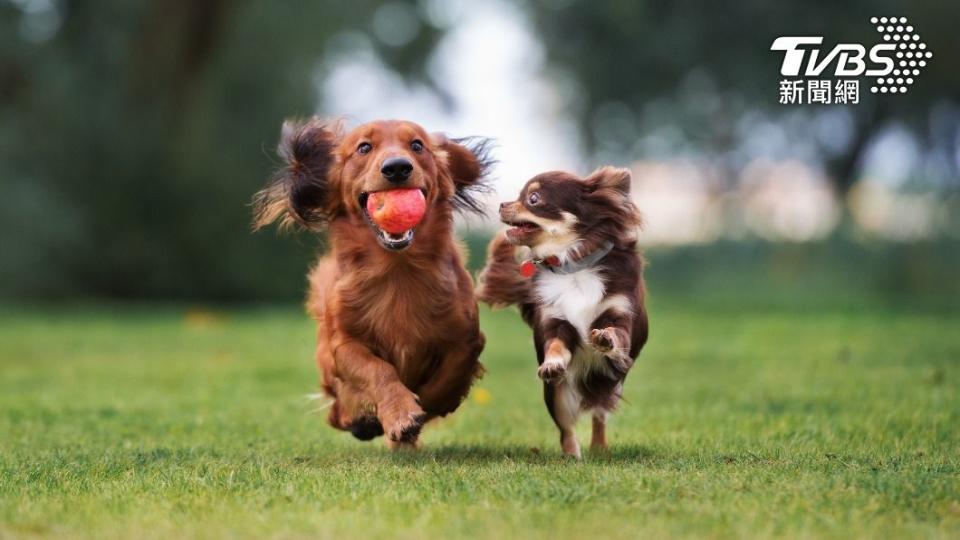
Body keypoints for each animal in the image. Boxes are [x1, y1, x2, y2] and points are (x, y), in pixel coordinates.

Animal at [253, 118, 488, 448]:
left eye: (417, 145)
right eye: (364, 147)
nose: (397, 168)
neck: (397, 270)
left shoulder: (467, 337)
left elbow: (448, 376)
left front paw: (424, 407)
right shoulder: (343, 344)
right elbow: (378, 370)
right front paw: (399, 413)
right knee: (337, 411)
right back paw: (361, 419)